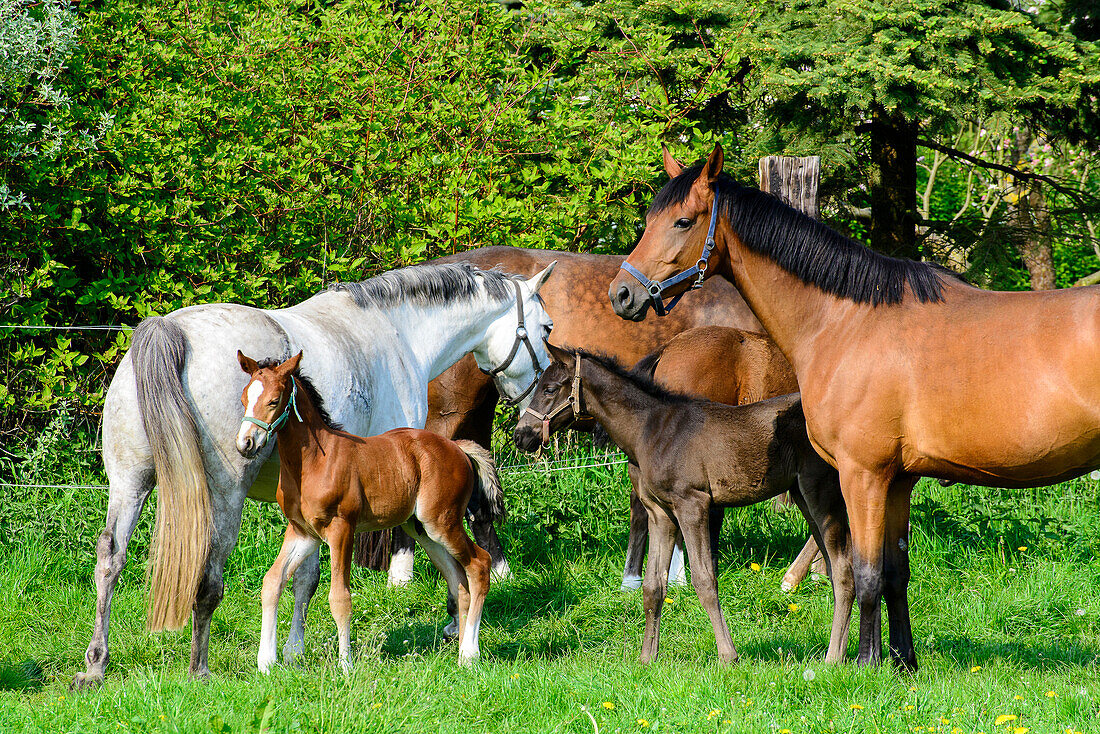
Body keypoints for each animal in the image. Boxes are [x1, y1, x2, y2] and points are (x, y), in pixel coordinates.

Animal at [240, 349, 503, 673]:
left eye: (274, 400)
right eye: (244, 398)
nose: (245, 443)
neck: (315, 461)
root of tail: (458, 448)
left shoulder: (342, 529)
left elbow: (340, 598)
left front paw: (346, 665)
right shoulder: (303, 532)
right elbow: (272, 582)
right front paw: (266, 662)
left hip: (443, 522)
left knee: (479, 565)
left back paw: (470, 654)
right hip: (422, 529)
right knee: (458, 579)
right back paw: (460, 650)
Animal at [510, 345, 853, 664]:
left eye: (550, 389)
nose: (520, 435)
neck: (651, 431)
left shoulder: (692, 505)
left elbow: (704, 579)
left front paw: (728, 655)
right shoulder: (660, 514)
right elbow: (652, 586)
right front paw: (647, 658)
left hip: (820, 493)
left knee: (843, 569)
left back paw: (833, 657)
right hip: (803, 496)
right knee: (834, 567)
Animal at [611, 143, 1100, 673]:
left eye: (683, 221)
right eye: (648, 220)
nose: (622, 293)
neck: (848, 321)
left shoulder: (862, 474)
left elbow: (865, 574)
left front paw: (865, 663)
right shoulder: (899, 479)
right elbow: (895, 572)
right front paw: (904, 662)